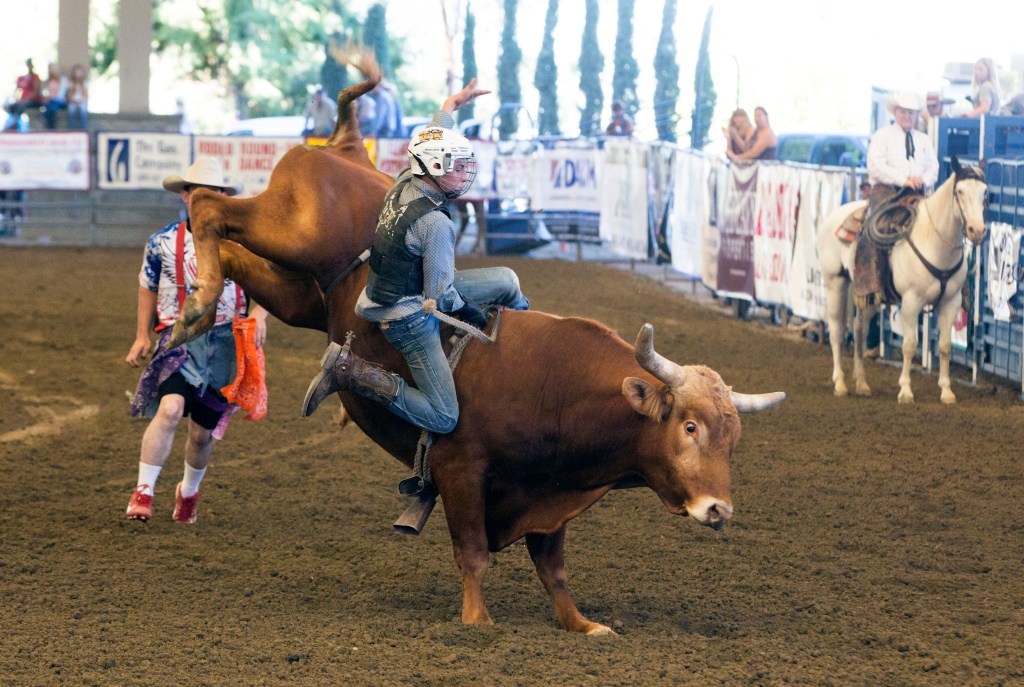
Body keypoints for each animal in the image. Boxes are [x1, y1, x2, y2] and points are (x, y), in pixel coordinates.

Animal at [172, 51, 786, 638]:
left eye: (733, 439)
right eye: (689, 427)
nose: (719, 509)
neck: (558, 385)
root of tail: (344, 144)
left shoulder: (549, 496)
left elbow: (553, 568)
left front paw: (582, 625)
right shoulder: (461, 469)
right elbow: (472, 552)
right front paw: (477, 622)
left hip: (304, 294)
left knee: (237, 254)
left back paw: (197, 313)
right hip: (293, 231)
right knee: (208, 207)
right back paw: (206, 306)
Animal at [819, 157, 987, 403]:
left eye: (985, 192)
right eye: (960, 191)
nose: (977, 231)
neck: (934, 241)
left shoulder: (951, 302)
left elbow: (945, 346)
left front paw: (946, 391)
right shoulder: (911, 301)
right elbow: (909, 344)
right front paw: (906, 390)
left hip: (870, 294)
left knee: (860, 330)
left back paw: (861, 383)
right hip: (834, 283)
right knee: (836, 331)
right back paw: (840, 383)